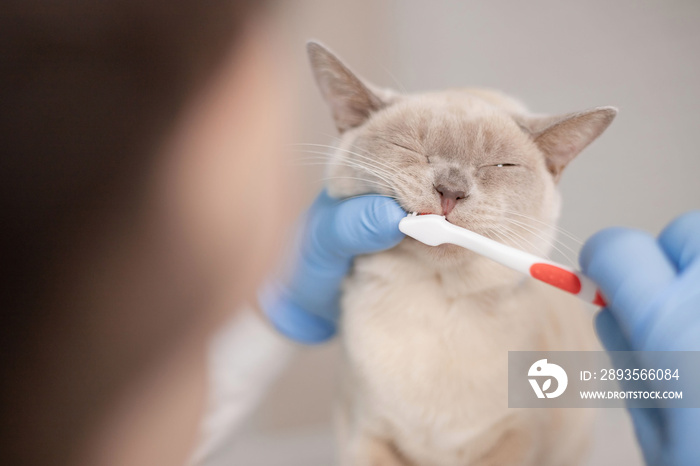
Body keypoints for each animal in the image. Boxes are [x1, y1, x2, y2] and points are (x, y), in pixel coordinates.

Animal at [306, 41, 612, 466]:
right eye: (411, 147)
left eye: (500, 165)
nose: (450, 190)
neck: (436, 301)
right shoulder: (366, 434)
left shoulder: (516, 437)